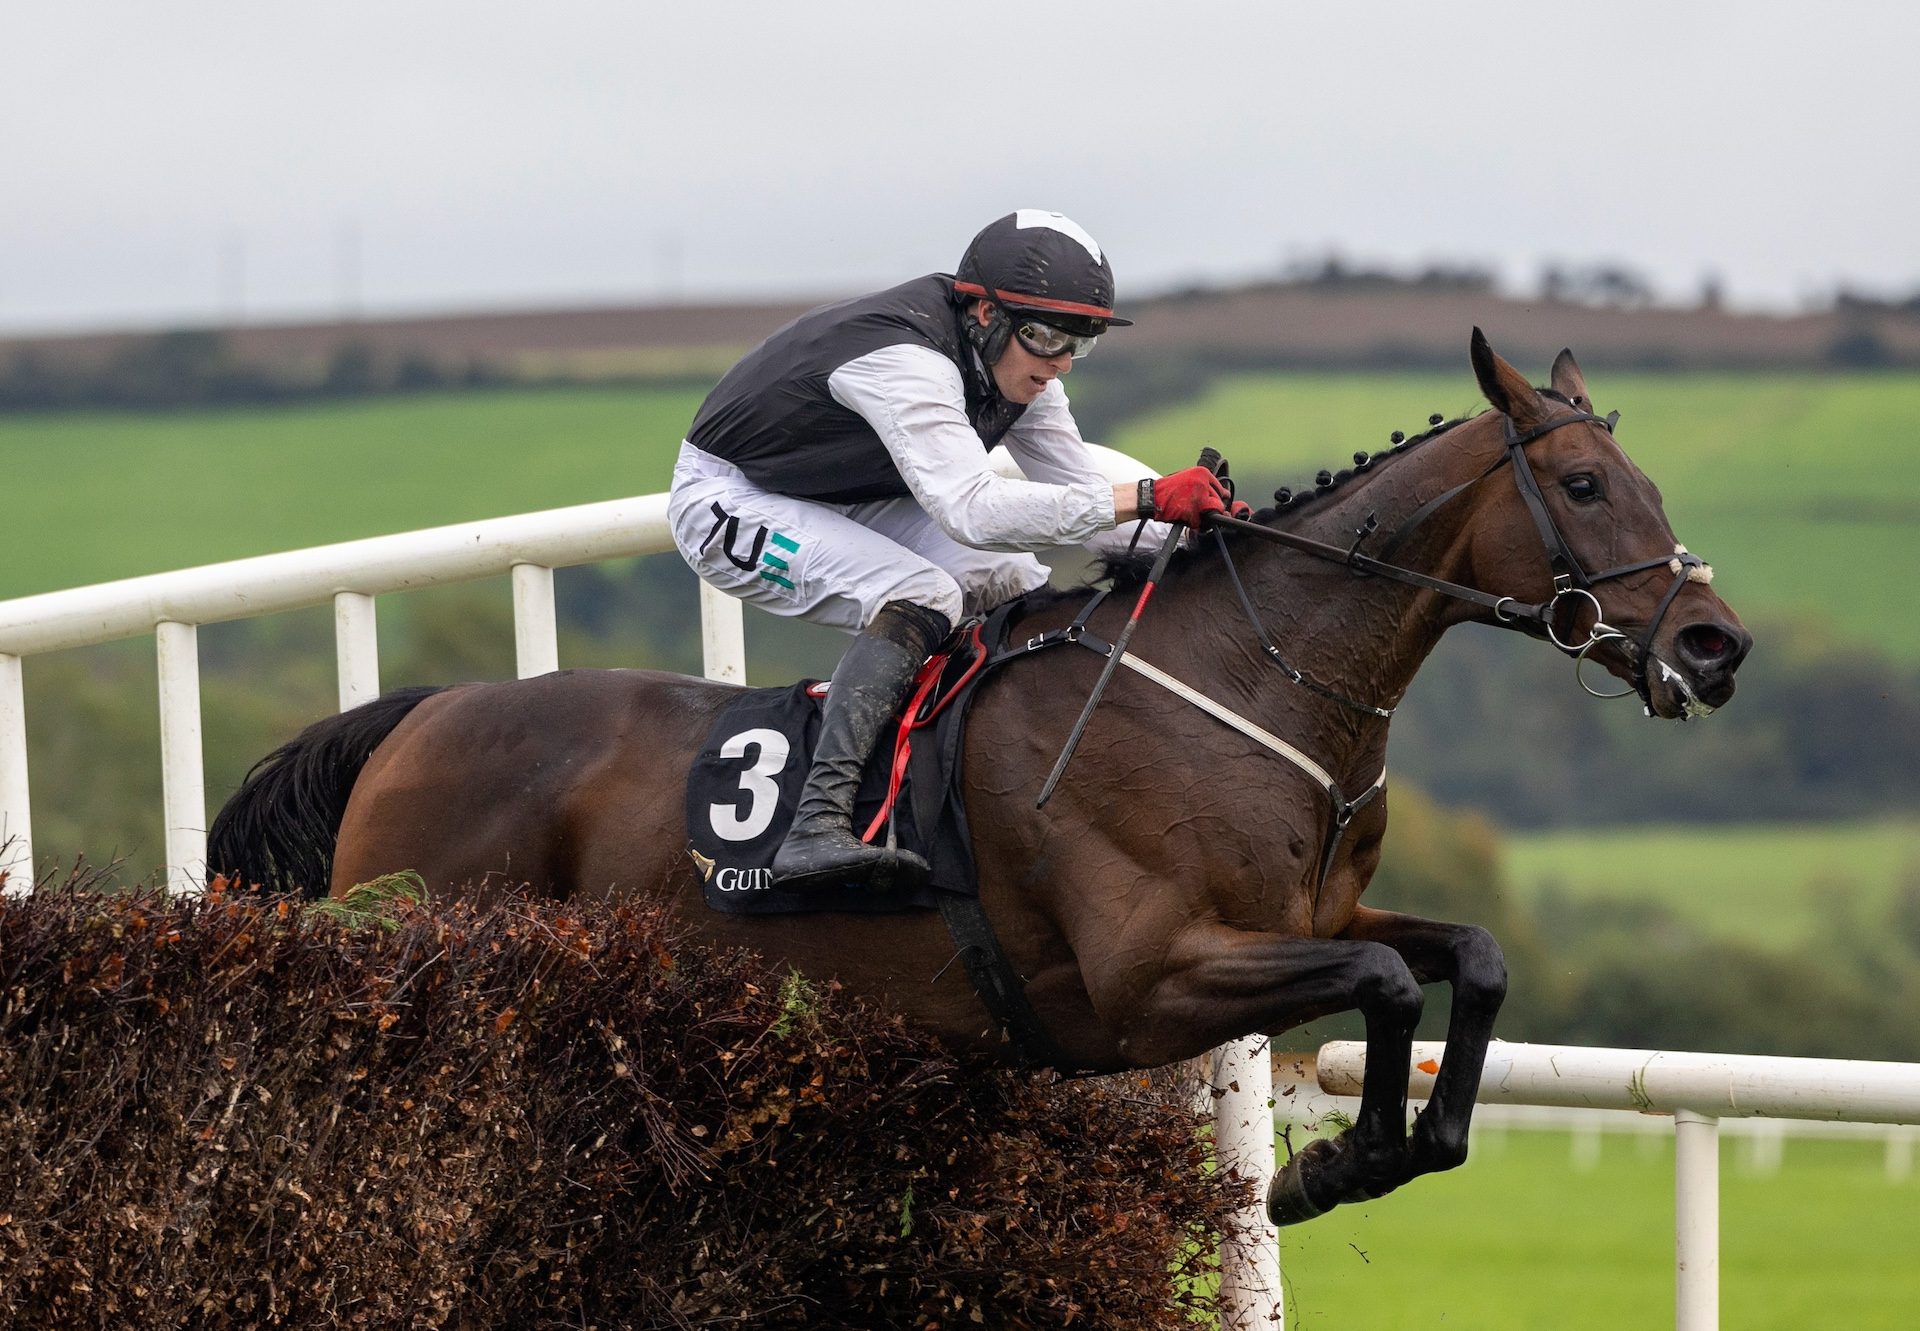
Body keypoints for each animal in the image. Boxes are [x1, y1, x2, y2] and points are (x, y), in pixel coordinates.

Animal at [214, 326, 1758, 1221]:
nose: (1716, 640)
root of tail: (419, 715)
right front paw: (1335, 1160)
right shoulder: (1148, 977)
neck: (1246, 680)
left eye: (1647, 480)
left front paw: (1401, 1140)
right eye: (1582, 486)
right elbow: (1385, 986)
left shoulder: (1305, 919)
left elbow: (1468, 957)